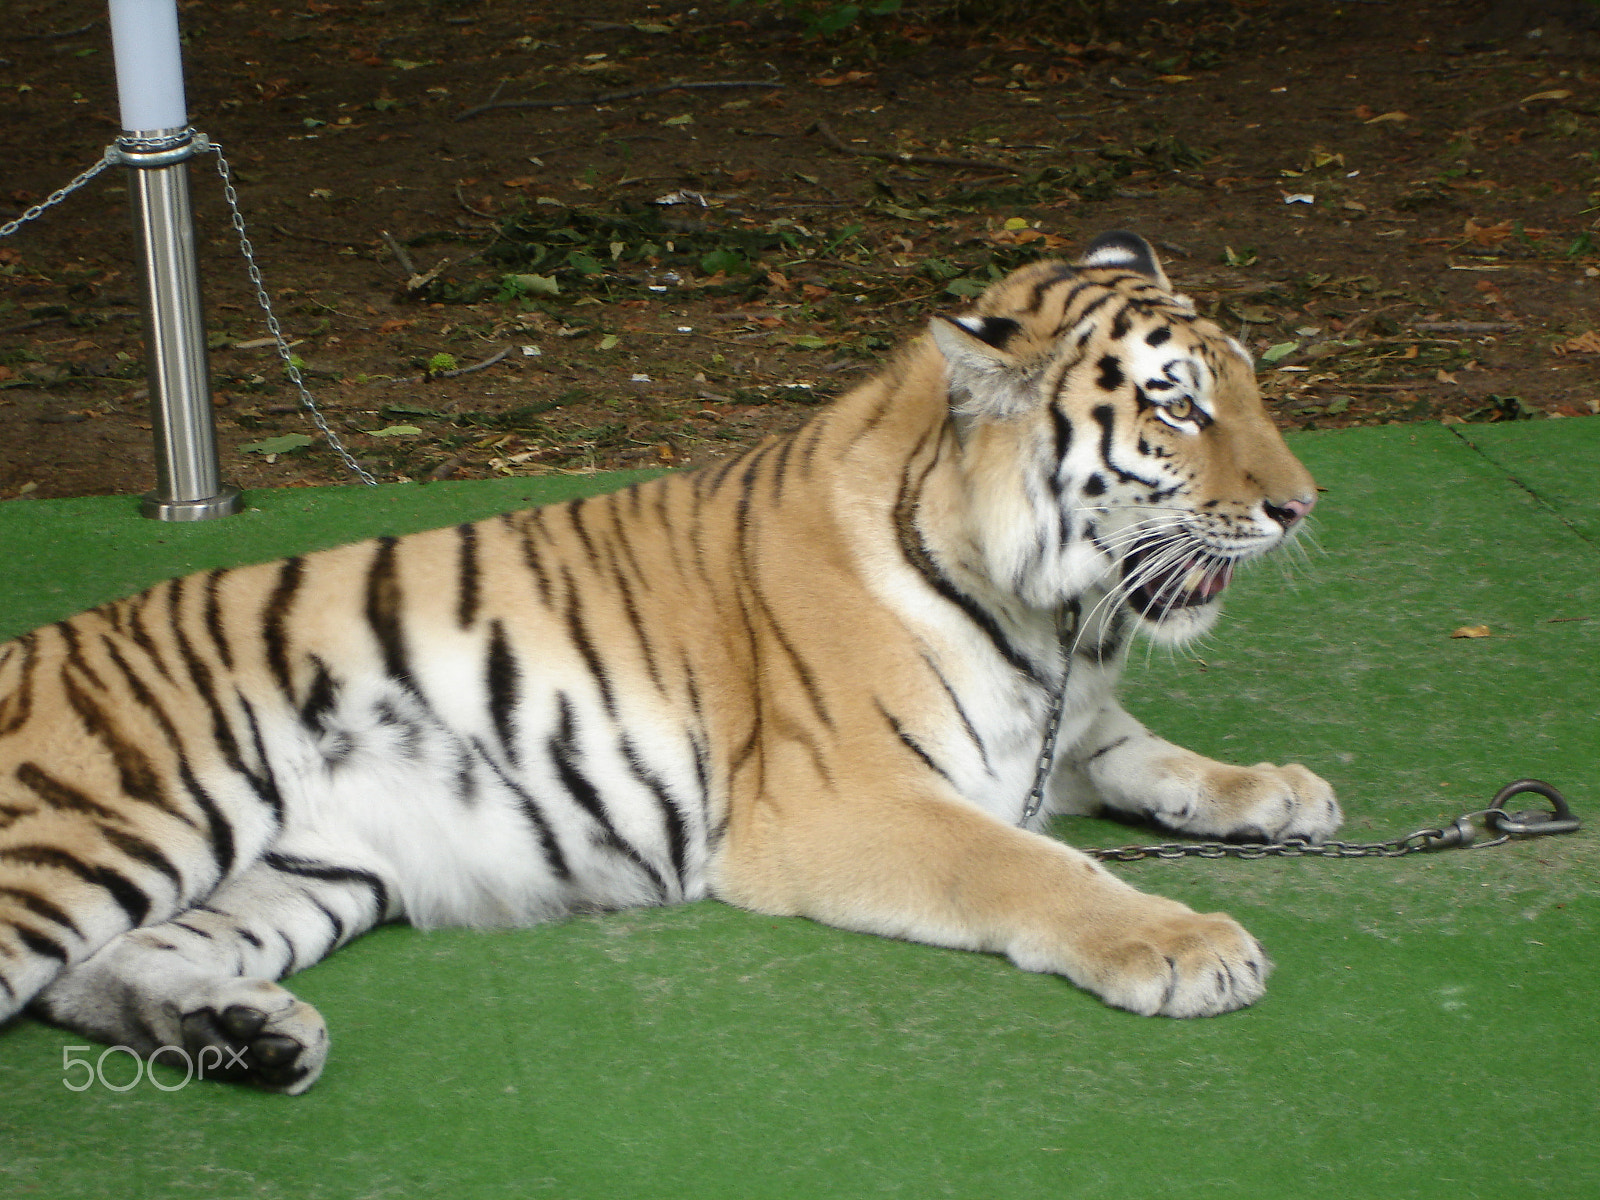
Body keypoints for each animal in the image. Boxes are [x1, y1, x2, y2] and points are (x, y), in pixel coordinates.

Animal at [0, 227, 1337, 1100]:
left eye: (1246, 385)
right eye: (1175, 407)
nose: (1300, 507)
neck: (1053, 614)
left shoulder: (1058, 723)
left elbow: (1144, 751)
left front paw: (1276, 790)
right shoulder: (840, 802)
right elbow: (1034, 867)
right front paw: (1184, 945)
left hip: (303, 870)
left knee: (114, 966)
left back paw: (245, 1036)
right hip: (116, 823)